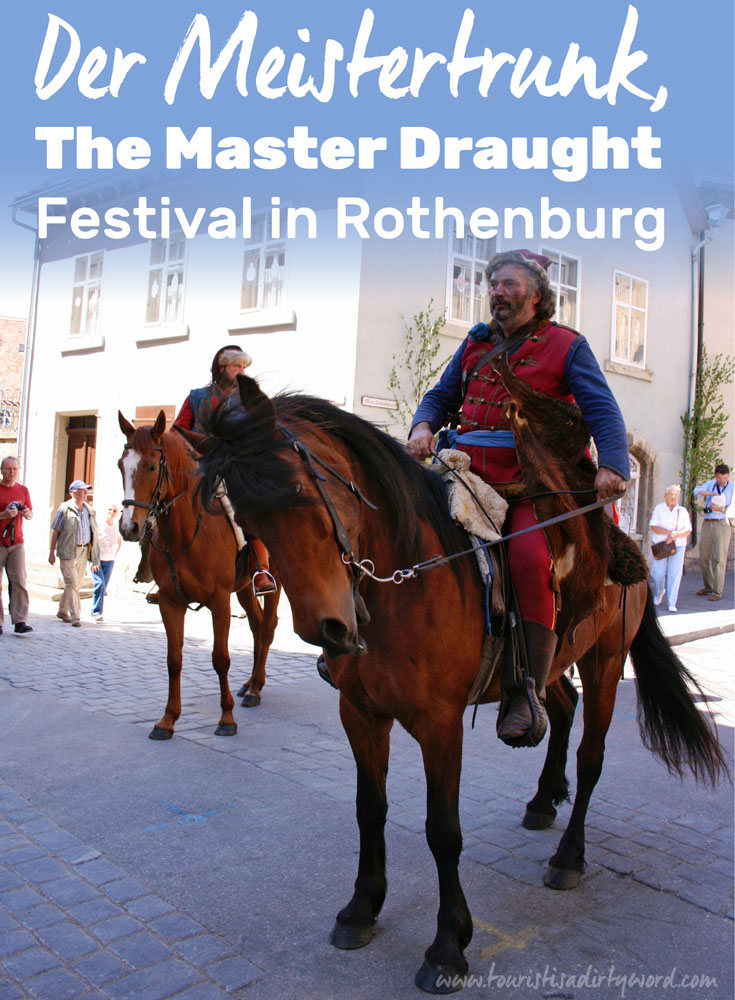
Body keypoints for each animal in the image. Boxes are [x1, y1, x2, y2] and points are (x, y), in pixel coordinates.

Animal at [118, 408, 282, 744]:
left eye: (152, 466)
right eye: (120, 466)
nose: (129, 528)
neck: (186, 532)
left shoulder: (219, 601)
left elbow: (220, 659)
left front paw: (226, 718)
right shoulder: (170, 602)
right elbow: (174, 660)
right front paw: (167, 720)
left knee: (268, 626)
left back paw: (255, 688)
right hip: (243, 588)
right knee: (257, 626)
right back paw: (251, 685)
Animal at [191, 380, 732, 992]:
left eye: (303, 493)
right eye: (246, 514)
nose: (327, 630)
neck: (404, 577)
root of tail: (618, 534)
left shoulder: (440, 723)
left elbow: (443, 831)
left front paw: (449, 944)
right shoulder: (361, 714)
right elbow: (369, 809)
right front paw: (361, 908)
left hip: (606, 663)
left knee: (592, 759)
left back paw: (568, 857)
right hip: (551, 665)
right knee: (559, 708)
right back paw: (543, 795)